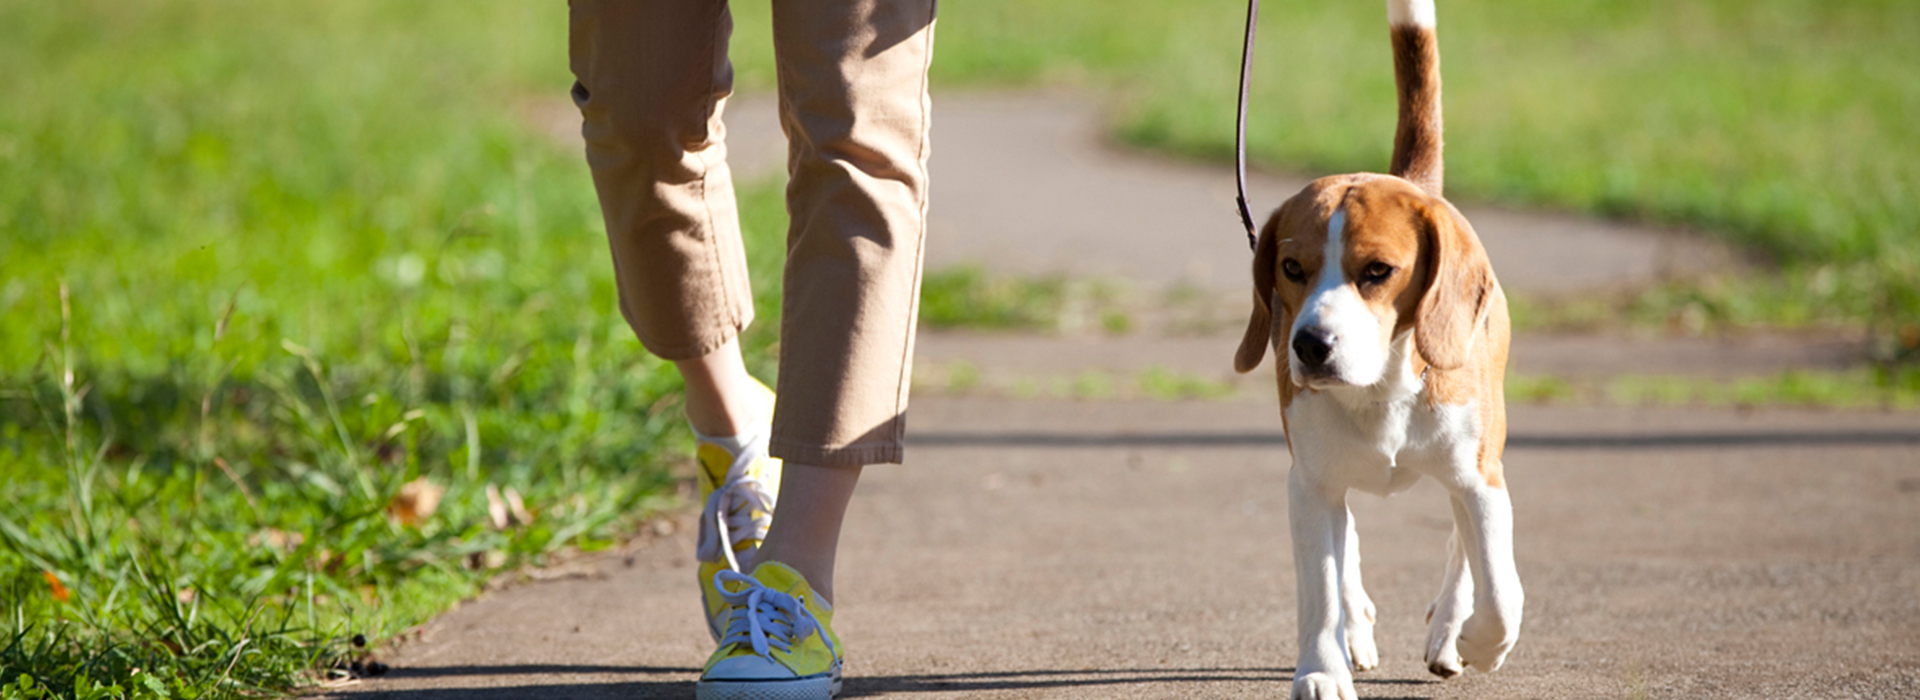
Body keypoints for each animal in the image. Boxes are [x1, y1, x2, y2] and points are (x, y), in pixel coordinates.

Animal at [1236, 2, 1520, 694]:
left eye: (1377, 271)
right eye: (1290, 267)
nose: (1310, 345)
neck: (1382, 389)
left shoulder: (1482, 480)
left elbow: (1500, 591)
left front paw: (1475, 641)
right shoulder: (1309, 485)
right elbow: (1321, 587)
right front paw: (1322, 670)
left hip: (1482, 452)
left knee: (1464, 546)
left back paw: (1449, 629)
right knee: (1348, 550)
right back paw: (1358, 628)